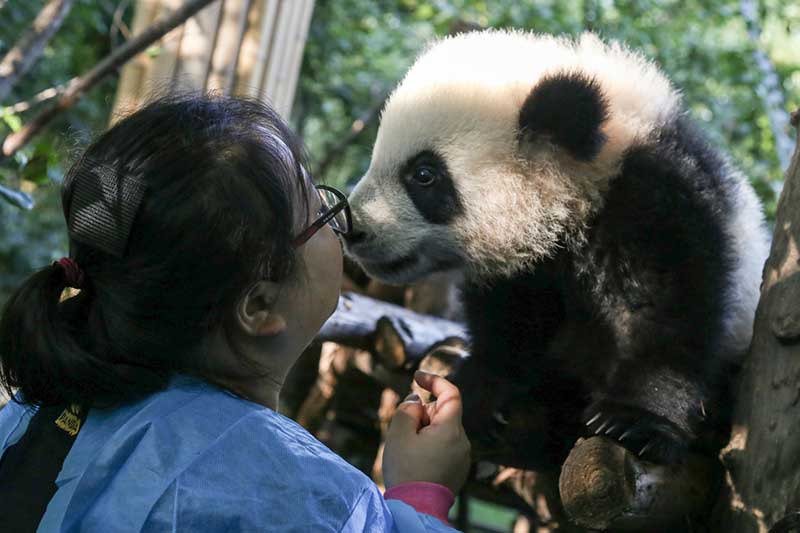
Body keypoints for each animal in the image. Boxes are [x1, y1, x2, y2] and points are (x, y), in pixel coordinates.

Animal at [343, 29, 769, 468]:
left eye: (424, 174)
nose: (352, 228)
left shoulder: (654, 201)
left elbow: (666, 306)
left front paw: (636, 420)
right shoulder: (530, 263)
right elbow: (511, 315)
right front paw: (480, 389)